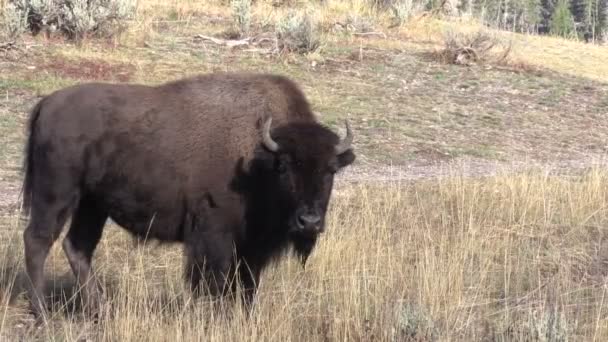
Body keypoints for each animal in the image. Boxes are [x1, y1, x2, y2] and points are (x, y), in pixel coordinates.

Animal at [21, 71, 356, 320]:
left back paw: (100, 311)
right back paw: (44, 314)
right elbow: (216, 282)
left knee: (78, 247)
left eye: (330, 170)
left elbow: (248, 285)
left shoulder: (252, 247)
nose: (309, 222)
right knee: (38, 240)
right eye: (284, 167)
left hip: (92, 205)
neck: (257, 158)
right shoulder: (215, 238)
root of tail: (47, 103)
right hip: (56, 195)